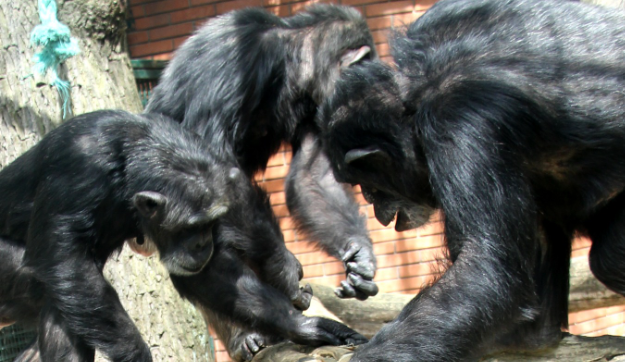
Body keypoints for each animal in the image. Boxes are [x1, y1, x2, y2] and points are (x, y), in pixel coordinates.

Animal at [0, 110, 366, 362]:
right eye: (191, 226)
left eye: (213, 221)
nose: (203, 243)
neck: (126, 163)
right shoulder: (80, 164)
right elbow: (66, 260)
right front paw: (136, 355)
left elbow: (212, 274)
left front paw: (305, 326)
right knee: (59, 286)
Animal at [145, 4, 380, 358]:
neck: (287, 65)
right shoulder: (235, 61)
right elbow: (213, 164)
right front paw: (286, 270)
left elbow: (312, 175)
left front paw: (360, 256)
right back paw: (247, 336)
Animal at [320, 0, 624, 360]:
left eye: (368, 186)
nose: (375, 207)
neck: (415, 95)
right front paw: (529, 335)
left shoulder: (458, 122)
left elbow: (483, 265)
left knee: (609, 258)